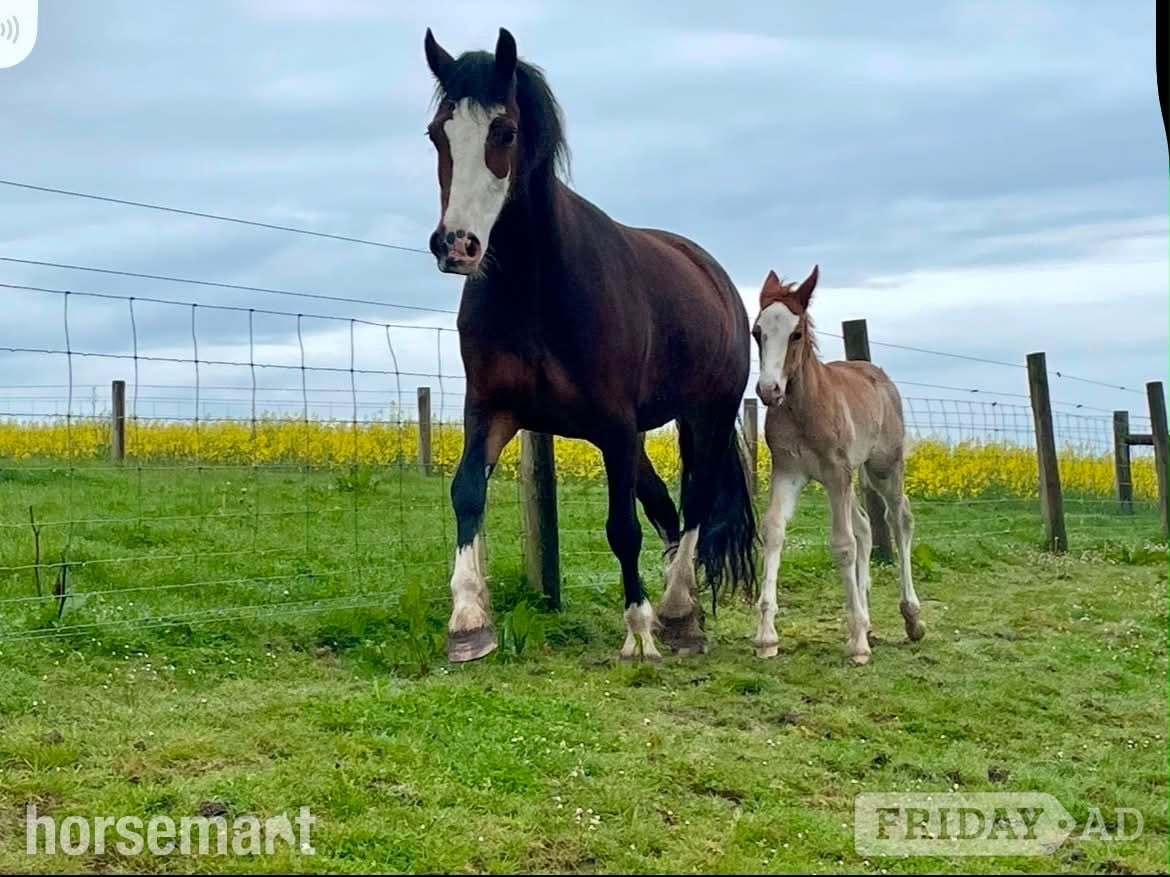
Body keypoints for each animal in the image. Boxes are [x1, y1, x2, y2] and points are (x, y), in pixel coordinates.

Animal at [421, 26, 758, 663]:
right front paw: (469, 623)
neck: (536, 290)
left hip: (708, 414)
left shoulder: (615, 425)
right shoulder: (492, 411)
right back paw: (682, 610)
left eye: (504, 131)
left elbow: (622, 528)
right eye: (437, 133)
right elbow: (466, 493)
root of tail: (712, 272)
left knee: (696, 503)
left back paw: (678, 612)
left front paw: (639, 634)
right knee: (668, 507)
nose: (456, 246)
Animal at [749, 265, 925, 665]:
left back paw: (911, 617)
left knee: (898, 518)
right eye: (757, 332)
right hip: (851, 477)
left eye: (796, 333)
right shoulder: (789, 471)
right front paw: (766, 637)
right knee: (865, 526)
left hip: (883, 466)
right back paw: (868, 619)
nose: (768, 390)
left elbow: (843, 544)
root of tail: (879, 375)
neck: (804, 408)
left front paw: (857, 643)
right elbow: (773, 531)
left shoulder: (835, 473)